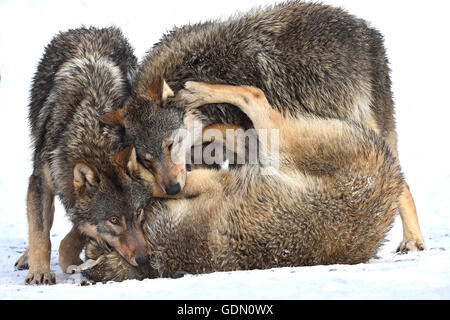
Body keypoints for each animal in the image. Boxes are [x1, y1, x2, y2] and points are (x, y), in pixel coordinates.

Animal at [14, 26, 153, 284]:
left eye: (138, 213)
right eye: (114, 220)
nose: (144, 259)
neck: (92, 135)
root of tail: (91, 29)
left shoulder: (73, 195)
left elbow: (78, 231)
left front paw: (70, 259)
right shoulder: (42, 180)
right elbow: (40, 232)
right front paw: (39, 272)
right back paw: (28, 258)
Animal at [80, 80, 404, 282]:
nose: (84, 270)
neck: (162, 243)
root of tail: (391, 169)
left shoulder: (212, 183)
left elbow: (162, 183)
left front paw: (138, 170)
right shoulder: (214, 181)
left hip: (277, 145)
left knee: (253, 94)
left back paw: (197, 93)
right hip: (269, 151)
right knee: (247, 114)